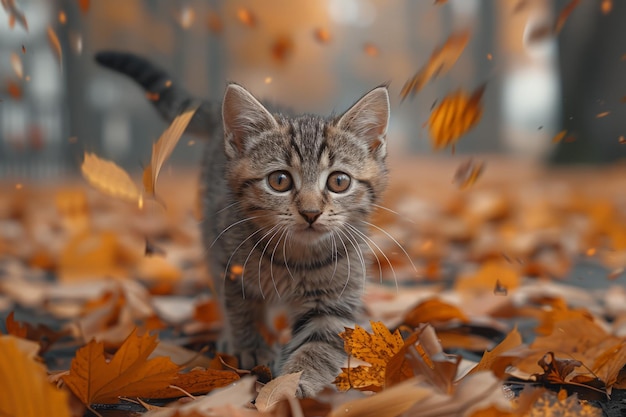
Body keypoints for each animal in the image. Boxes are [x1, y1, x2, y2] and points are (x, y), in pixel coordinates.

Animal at [94, 52, 388, 396]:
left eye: (339, 182)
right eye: (279, 181)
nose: (311, 212)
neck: (295, 256)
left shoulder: (334, 296)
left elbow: (319, 343)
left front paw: (293, 383)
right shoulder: (231, 266)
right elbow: (240, 309)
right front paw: (252, 346)